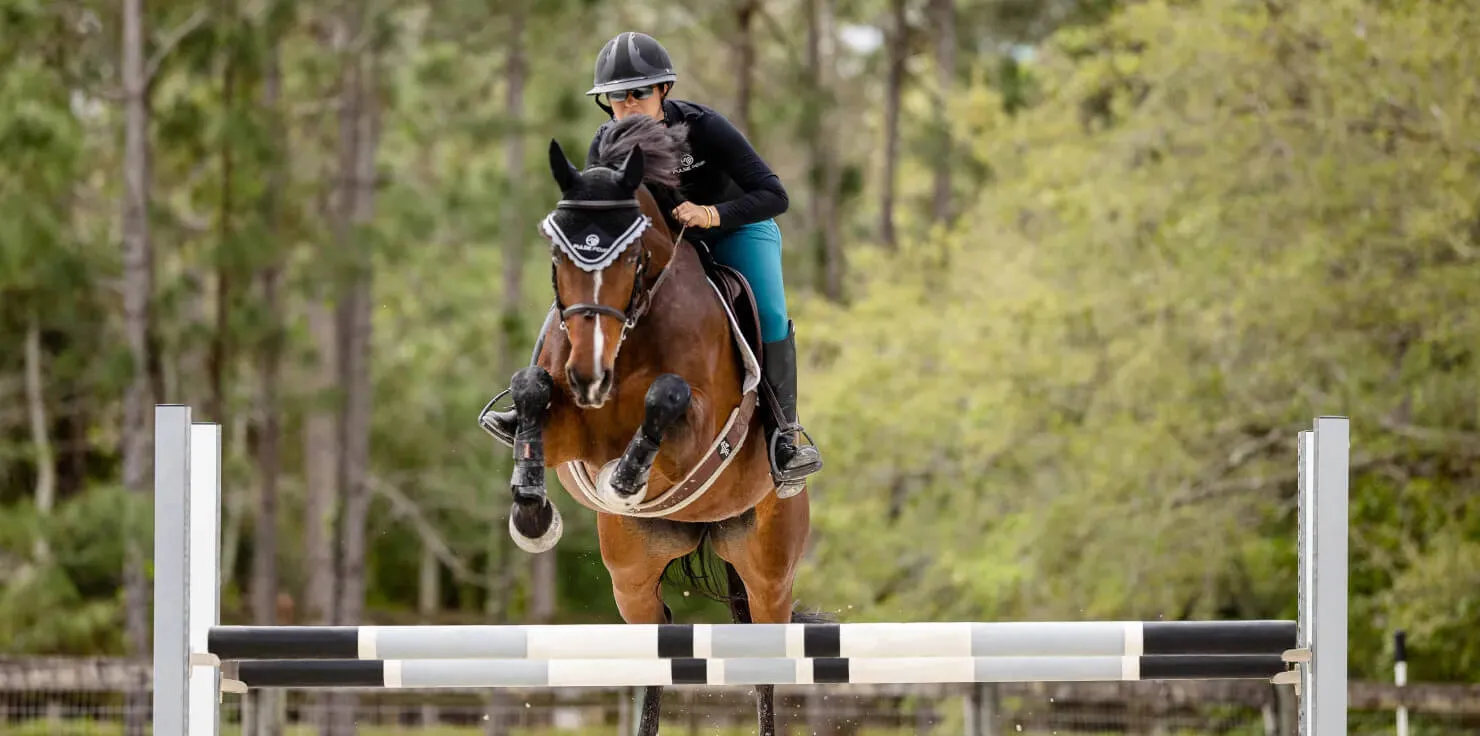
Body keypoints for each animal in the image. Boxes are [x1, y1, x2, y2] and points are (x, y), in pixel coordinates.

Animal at [478, 114, 826, 736]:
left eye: (630, 252)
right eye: (557, 251)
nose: (589, 374)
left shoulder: (699, 433)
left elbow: (667, 398)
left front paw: (625, 479)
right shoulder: (573, 433)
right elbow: (532, 390)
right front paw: (533, 516)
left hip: (770, 569)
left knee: (765, 655)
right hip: (632, 574)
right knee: (656, 644)